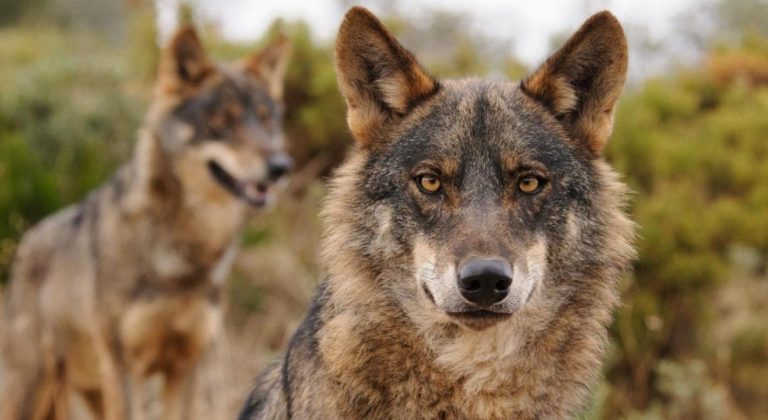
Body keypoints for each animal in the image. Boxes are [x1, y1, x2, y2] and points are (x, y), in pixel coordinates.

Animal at [1, 26, 291, 420]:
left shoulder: (186, 365)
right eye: (223, 120)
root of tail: (26, 241)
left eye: (265, 119)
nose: (281, 167)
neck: (184, 255)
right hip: (36, 390)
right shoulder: (124, 366)